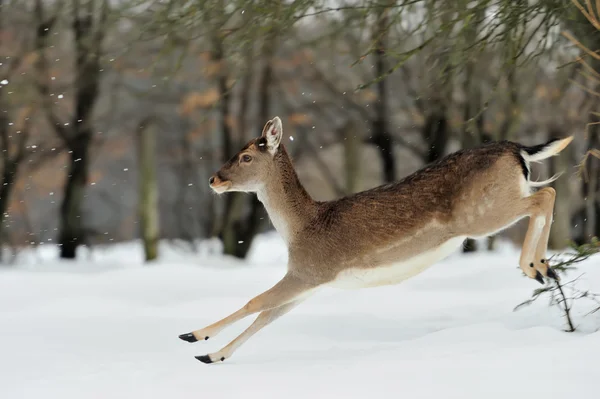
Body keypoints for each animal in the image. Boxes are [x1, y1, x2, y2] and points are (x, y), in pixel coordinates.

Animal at [179, 116, 572, 366]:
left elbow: (254, 302)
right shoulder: (313, 282)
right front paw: (211, 355)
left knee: (545, 195)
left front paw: (193, 336)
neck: (301, 229)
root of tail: (518, 149)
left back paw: (534, 266)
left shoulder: (308, 269)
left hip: (480, 215)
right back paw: (545, 268)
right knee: (546, 194)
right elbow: (266, 316)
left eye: (246, 156)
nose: (214, 179)